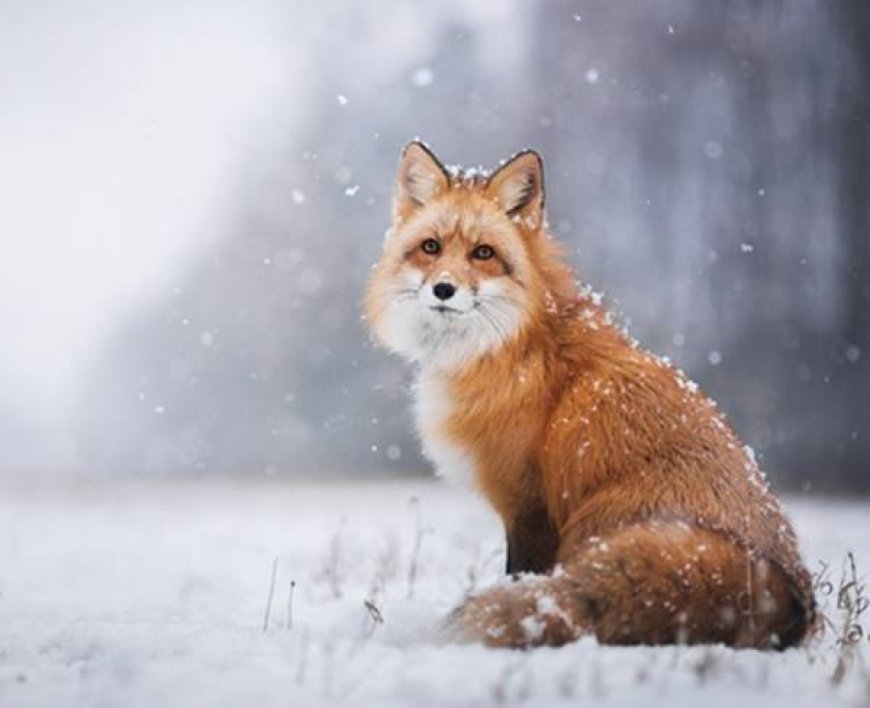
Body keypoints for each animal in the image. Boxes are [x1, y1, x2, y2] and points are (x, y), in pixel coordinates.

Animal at [363, 140, 815, 649]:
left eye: (483, 253)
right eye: (431, 247)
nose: (443, 288)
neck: (514, 345)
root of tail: (788, 594)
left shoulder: (531, 506)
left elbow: (519, 575)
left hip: (594, 523)